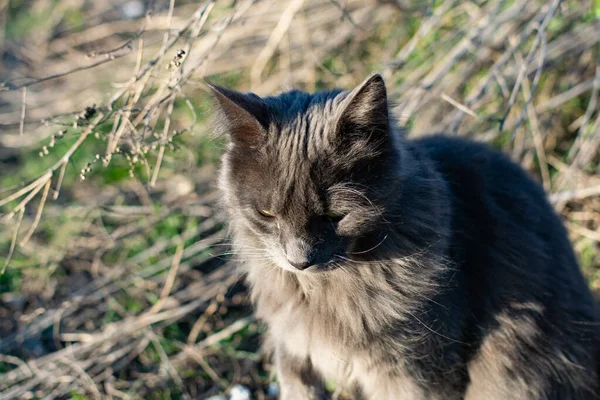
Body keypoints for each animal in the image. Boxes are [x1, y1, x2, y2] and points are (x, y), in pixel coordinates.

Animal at [209, 73, 596, 398]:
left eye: (336, 216)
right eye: (267, 214)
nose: (298, 260)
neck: (321, 290)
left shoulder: (415, 368)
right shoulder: (293, 347)